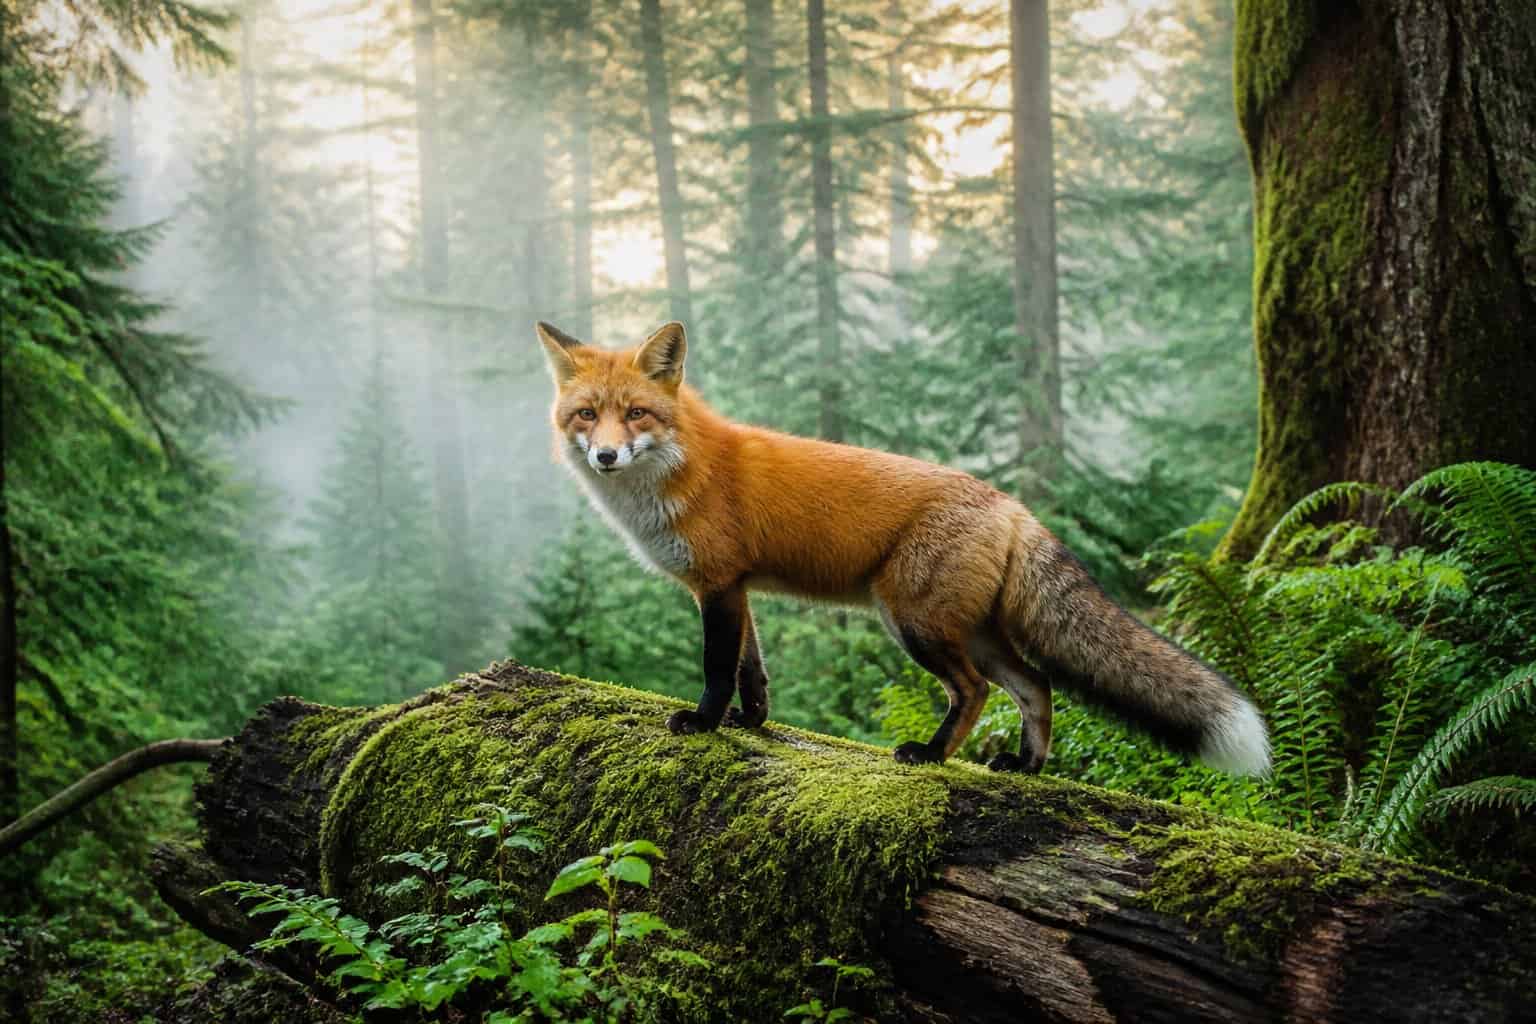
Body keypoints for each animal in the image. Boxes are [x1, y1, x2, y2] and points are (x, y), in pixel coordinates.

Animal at [534, 319, 1271, 776]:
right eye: (586, 415)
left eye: (636, 414)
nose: (604, 456)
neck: (682, 469)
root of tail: (1011, 504)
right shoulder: (737, 589)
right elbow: (753, 670)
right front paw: (753, 721)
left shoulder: (717, 586)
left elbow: (718, 667)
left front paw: (707, 723)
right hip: (971, 631)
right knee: (1036, 686)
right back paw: (1027, 766)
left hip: (915, 622)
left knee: (976, 692)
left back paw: (934, 754)